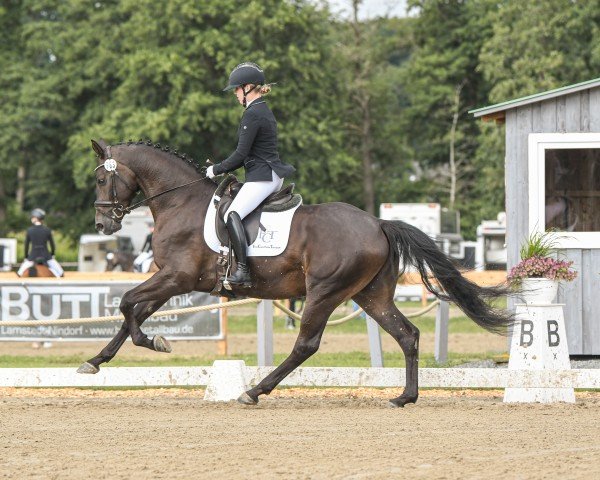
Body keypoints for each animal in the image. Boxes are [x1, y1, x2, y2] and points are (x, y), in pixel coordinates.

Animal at [77, 138, 512, 404]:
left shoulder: (177, 276)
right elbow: (132, 311)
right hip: (370, 295)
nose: (102, 225)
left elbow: (127, 304)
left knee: (307, 344)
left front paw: (155, 342)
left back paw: (255, 391)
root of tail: (378, 223)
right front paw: (96, 361)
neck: (179, 201)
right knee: (407, 334)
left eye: (99, 178)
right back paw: (405, 396)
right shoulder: (171, 279)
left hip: (325, 292)